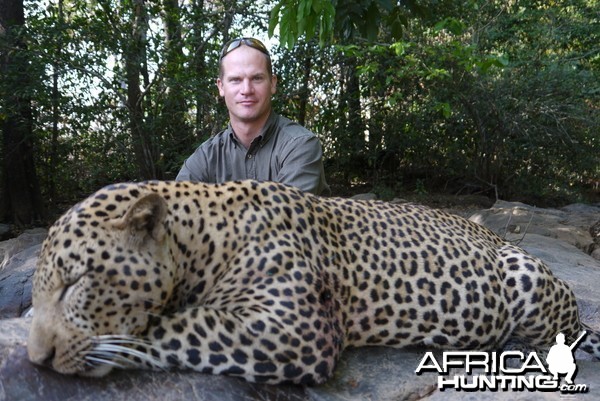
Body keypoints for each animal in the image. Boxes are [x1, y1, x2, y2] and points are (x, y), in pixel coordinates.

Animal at [27, 180, 600, 382]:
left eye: (77, 281)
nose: (36, 360)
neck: (201, 240)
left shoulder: (295, 329)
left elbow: (171, 327)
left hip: (525, 277)